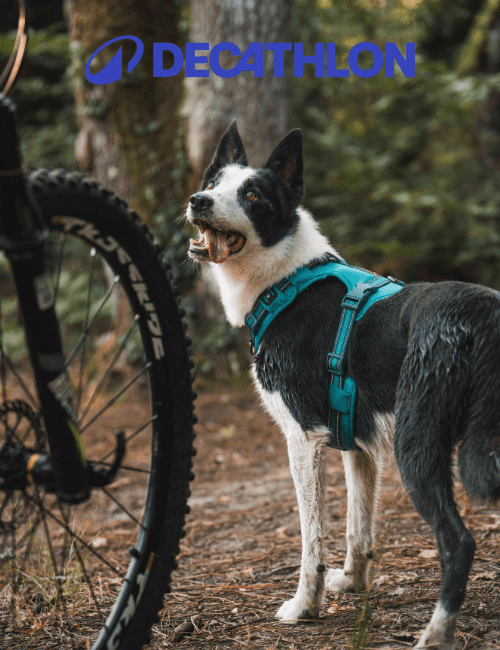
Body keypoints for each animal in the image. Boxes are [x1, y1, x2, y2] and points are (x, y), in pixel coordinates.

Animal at [185, 123, 500, 648]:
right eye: (213, 182)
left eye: (251, 195)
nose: (198, 201)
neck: (284, 277)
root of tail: (484, 315)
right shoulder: (359, 445)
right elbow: (358, 529)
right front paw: (353, 584)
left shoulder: (303, 439)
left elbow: (312, 539)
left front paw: (305, 606)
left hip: (416, 447)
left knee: (458, 542)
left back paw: (434, 634)